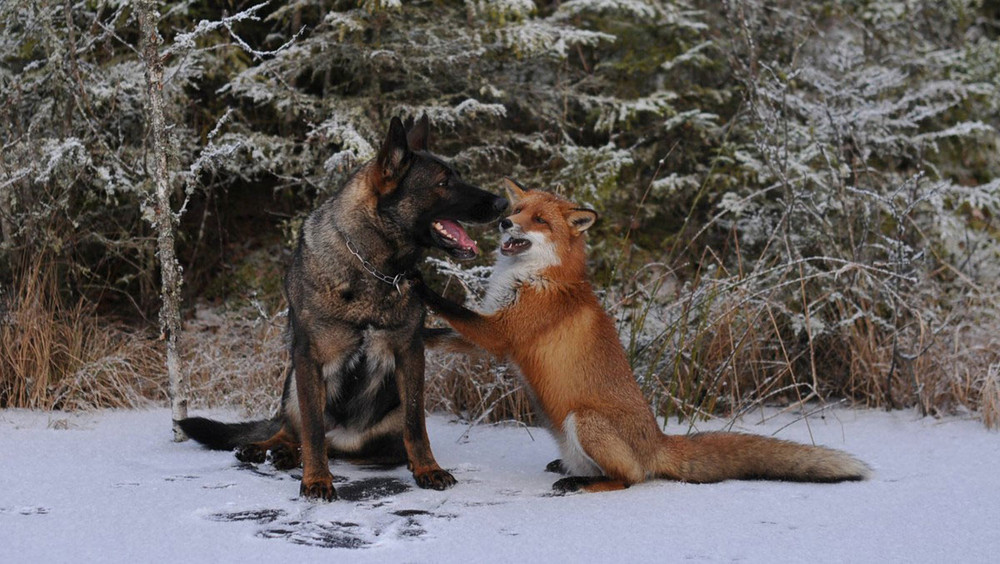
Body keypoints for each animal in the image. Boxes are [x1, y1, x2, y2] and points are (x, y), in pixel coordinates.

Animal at [414, 178, 871, 493]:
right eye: (519, 209)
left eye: (539, 220)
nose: (505, 221)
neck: (535, 278)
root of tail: (657, 440)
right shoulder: (490, 335)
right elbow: (445, 332)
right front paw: (421, 335)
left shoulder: (501, 333)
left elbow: (453, 309)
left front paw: (419, 284)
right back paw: (569, 469)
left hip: (584, 420)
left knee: (630, 478)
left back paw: (578, 483)